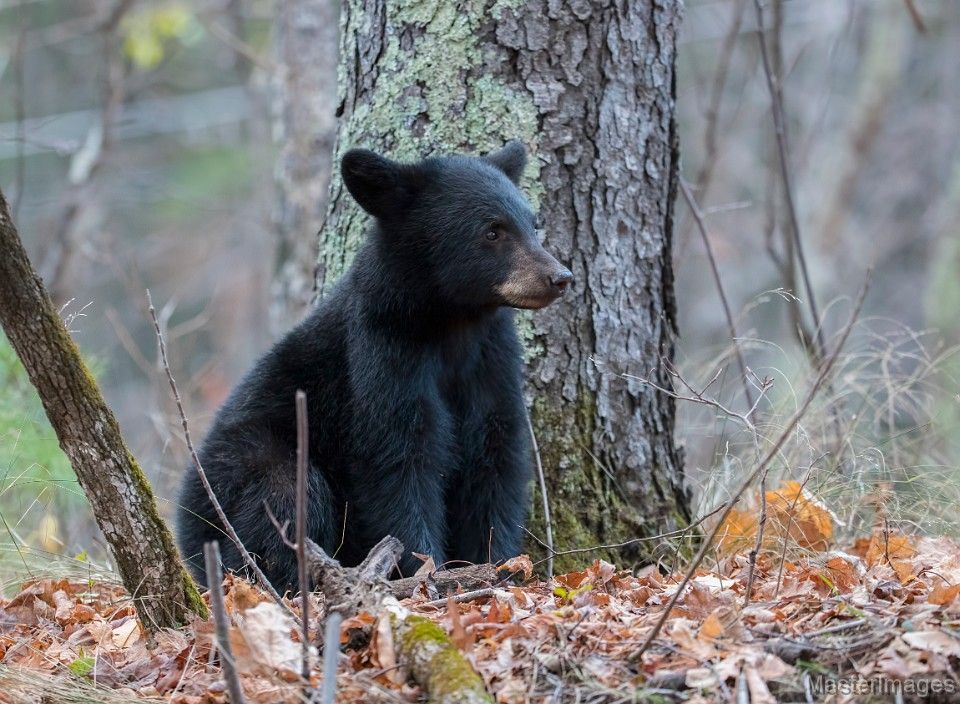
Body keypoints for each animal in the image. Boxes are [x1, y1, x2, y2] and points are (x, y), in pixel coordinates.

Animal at [175, 141, 573, 594]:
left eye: (533, 224)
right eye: (492, 230)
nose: (560, 277)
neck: (453, 326)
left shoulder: (492, 362)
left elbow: (496, 456)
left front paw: (502, 565)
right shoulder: (383, 355)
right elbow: (398, 459)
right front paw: (425, 571)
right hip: (244, 469)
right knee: (287, 495)